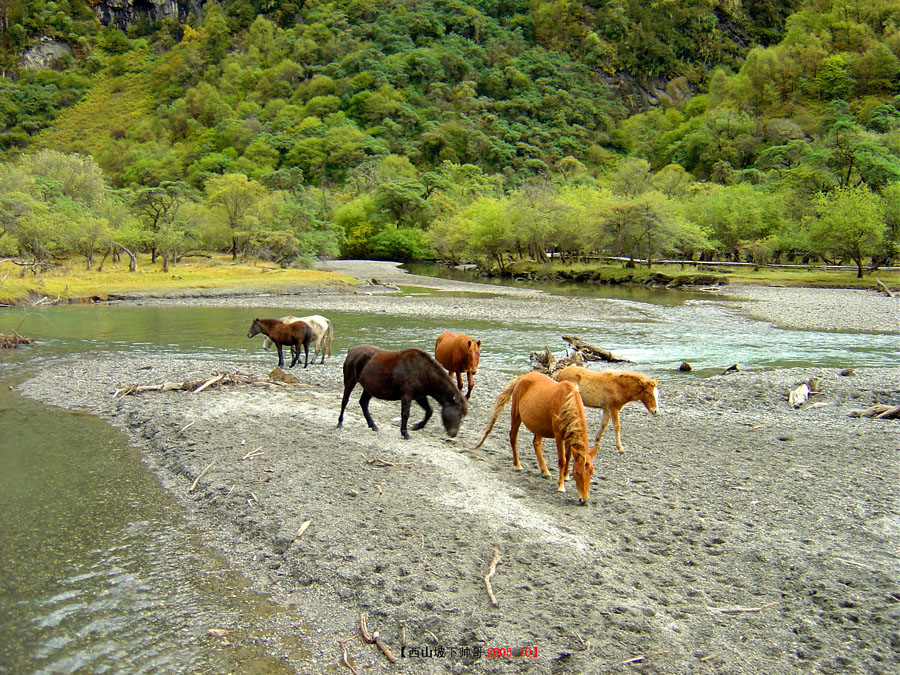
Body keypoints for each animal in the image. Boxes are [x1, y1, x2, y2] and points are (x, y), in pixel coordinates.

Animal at [334, 346, 468, 440]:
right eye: (459, 414)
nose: (453, 434)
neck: (423, 371)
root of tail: (351, 350)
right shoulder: (407, 395)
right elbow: (405, 414)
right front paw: (405, 433)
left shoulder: (420, 396)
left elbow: (429, 411)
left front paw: (417, 426)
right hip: (350, 381)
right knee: (345, 401)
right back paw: (340, 423)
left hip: (368, 388)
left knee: (363, 403)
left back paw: (373, 425)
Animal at [472, 372, 596, 504]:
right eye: (577, 473)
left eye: (591, 472)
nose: (584, 499)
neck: (567, 402)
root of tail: (522, 377)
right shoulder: (558, 436)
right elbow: (562, 460)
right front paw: (561, 485)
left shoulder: (569, 434)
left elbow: (568, 457)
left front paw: (566, 476)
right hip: (516, 415)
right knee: (513, 437)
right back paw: (517, 465)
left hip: (538, 425)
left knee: (536, 444)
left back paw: (545, 471)